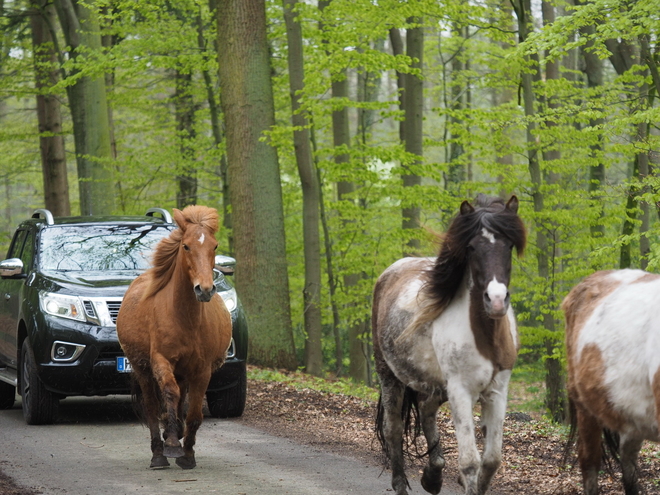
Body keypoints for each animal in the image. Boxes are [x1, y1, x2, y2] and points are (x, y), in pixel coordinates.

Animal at [116, 207, 232, 470]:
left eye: (215, 246)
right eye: (186, 246)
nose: (205, 290)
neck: (184, 318)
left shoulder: (202, 370)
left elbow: (194, 414)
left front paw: (187, 454)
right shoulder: (160, 361)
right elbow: (170, 394)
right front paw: (170, 444)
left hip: (184, 372)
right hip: (143, 369)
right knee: (152, 406)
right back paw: (158, 453)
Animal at [372, 196, 524, 495]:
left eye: (509, 245)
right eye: (472, 247)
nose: (496, 301)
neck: (485, 337)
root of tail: (390, 271)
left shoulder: (497, 392)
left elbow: (491, 460)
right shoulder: (461, 391)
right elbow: (469, 462)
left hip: (437, 386)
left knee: (426, 410)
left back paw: (433, 476)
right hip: (390, 376)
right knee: (394, 429)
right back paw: (402, 483)